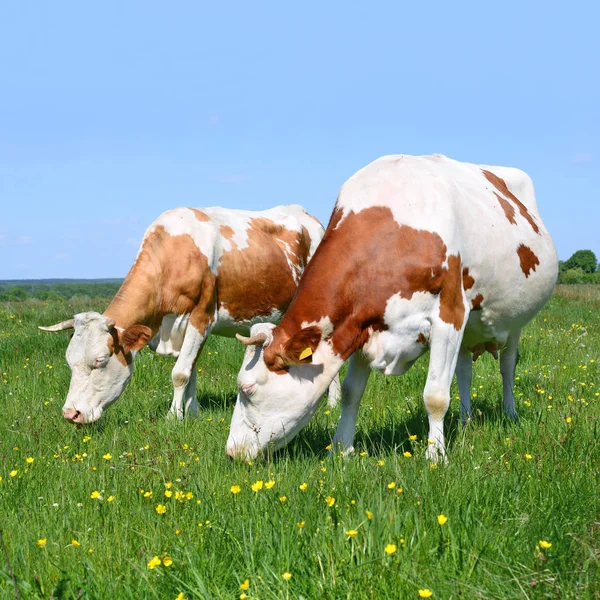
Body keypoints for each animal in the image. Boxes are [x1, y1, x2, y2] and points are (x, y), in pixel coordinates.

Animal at [39, 204, 342, 424]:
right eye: (69, 361)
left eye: (100, 361)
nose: (71, 414)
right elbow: (192, 368)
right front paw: (191, 412)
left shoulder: (201, 316)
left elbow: (180, 373)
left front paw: (174, 417)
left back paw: (333, 402)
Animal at [225, 154, 556, 460]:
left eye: (247, 389)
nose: (231, 452)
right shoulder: (362, 325)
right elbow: (351, 393)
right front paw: (340, 450)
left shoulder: (448, 316)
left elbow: (435, 395)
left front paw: (435, 456)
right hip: (470, 329)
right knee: (464, 372)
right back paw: (465, 420)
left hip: (514, 323)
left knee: (507, 366)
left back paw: (510, 413)